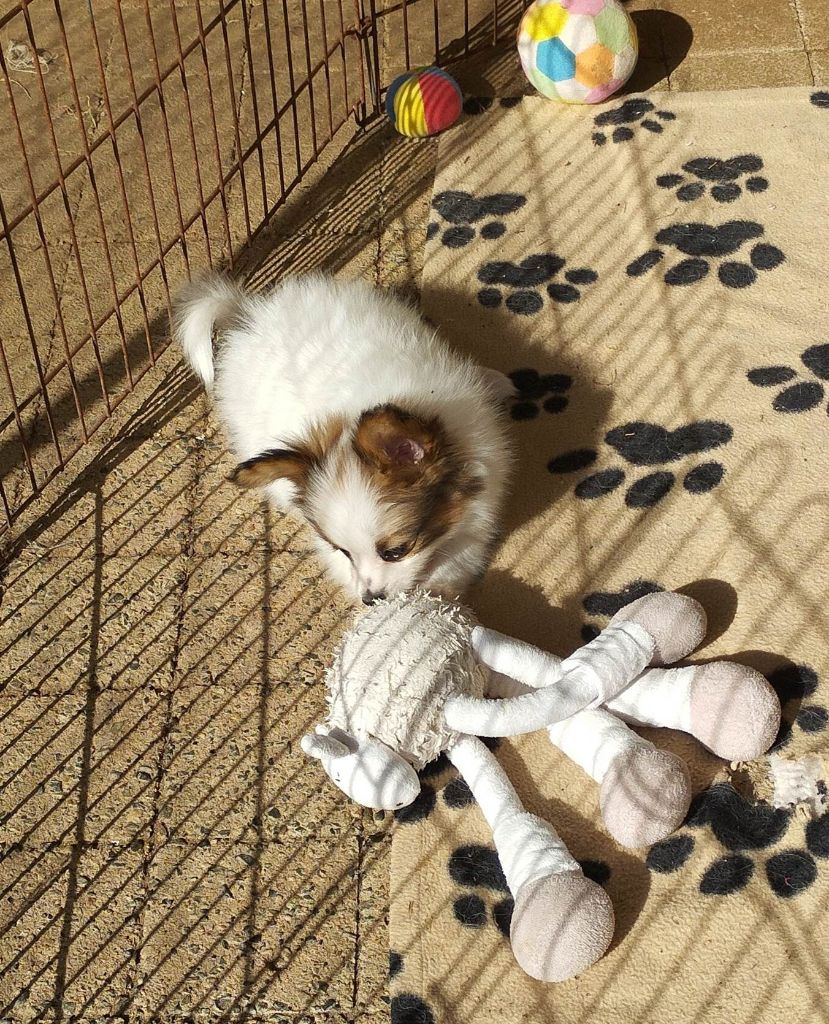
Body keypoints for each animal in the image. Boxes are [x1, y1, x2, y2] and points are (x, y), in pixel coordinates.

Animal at [173, 273, 513, 604]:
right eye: (344, 552)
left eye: (396, 551)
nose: (370, 599)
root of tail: (249, 314)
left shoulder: (480, 503)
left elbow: (459, 556)